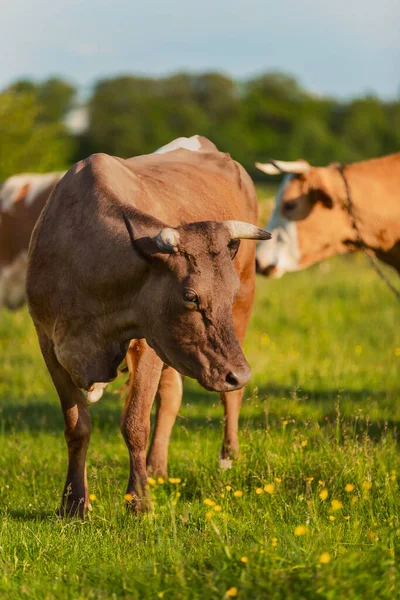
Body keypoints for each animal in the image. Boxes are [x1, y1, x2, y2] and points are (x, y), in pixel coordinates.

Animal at [25, 136, 268, 516]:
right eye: (190, 296)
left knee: (228, 397)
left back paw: (228, 458)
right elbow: (77, 425)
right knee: (171, 396)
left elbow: (135, 422)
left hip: (242, 306)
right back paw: (157, 469)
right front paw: (74, 503)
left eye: (227, 293)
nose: (239, 373)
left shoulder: (146, 342)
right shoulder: (48, 343)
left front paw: (139, 502)